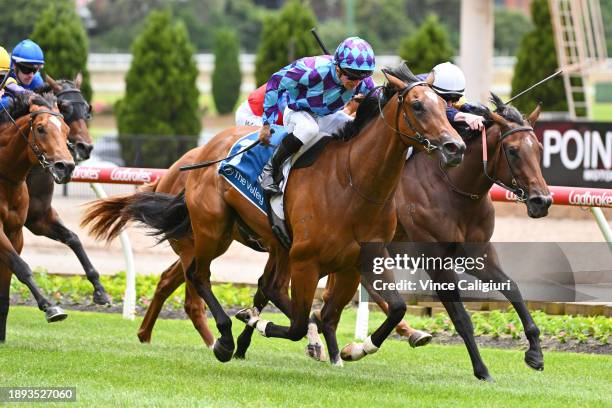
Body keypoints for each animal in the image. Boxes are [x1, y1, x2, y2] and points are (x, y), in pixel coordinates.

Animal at [0, 91, 76, 342]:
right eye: (41, 128)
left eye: (66, 129)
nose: (65, 166)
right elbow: (22, 266)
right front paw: (50, 307)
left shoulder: (15, 231)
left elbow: (10, 275)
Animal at [23, 75, 110, 304]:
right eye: (64, 107)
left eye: (87, 108)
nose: (84, 147)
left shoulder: (37, 217)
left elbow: (73, 238)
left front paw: (99, 289)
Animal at [80, 65, 464, 364]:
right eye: (417, 105)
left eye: (444, 106)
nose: (455, 147)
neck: (353, 181)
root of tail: (202, 155)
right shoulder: (307, 261)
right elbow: (299, 323)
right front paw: (261, 325)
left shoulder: (360, 259)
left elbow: (390, 308)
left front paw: (356, 348)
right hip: (213, 230)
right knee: (199, 276)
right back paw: (223, 339)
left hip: (268, 242)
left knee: (248, 284)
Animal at [310, 94, 548, 380]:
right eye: (512, 150)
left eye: (538, 149)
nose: (542, 200)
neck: (451, 188)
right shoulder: (436, 262)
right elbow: (461, 318)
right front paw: (482, 370)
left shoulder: (478, 253)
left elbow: (512, 287)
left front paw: (535, 352)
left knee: (330, 307)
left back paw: (337, 350)